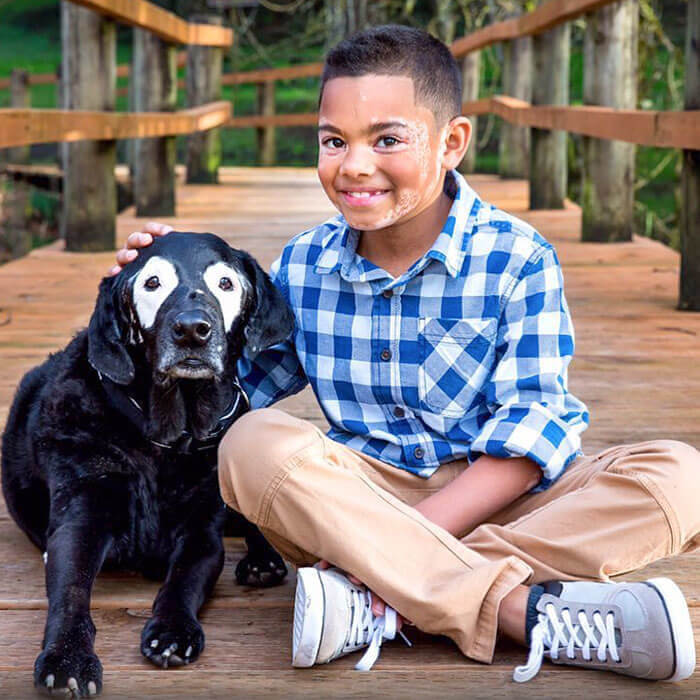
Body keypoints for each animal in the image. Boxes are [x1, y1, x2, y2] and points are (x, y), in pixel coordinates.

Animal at [1, 234, 294, 696]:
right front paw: (67, 656)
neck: (167, 438)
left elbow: (182, 582)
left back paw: (263, 561)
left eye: (225, 283)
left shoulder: (201, 535)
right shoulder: (78, 523)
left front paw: (173, 631)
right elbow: (70, 592)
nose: (192, 329)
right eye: (152, 282)